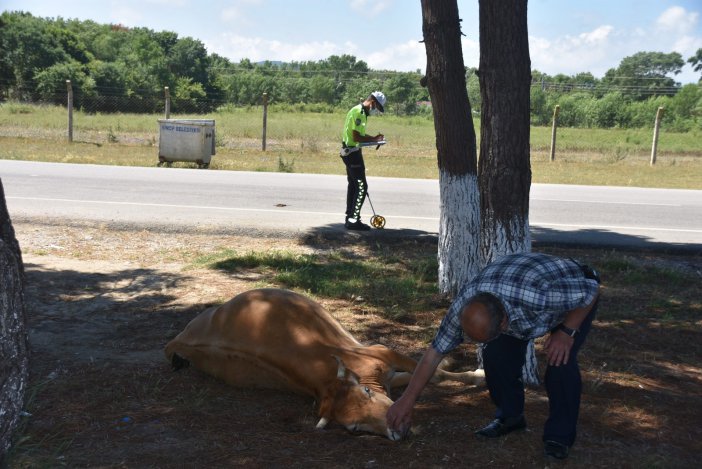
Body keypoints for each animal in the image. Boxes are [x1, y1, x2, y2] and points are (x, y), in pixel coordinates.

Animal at [164, 288, 484, 438]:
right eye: (354, 427)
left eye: (367, 392)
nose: (396, 431)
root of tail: (177, 342)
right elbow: (428, 375)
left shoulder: (385, 352)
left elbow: (430, 370)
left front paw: (477, 375)